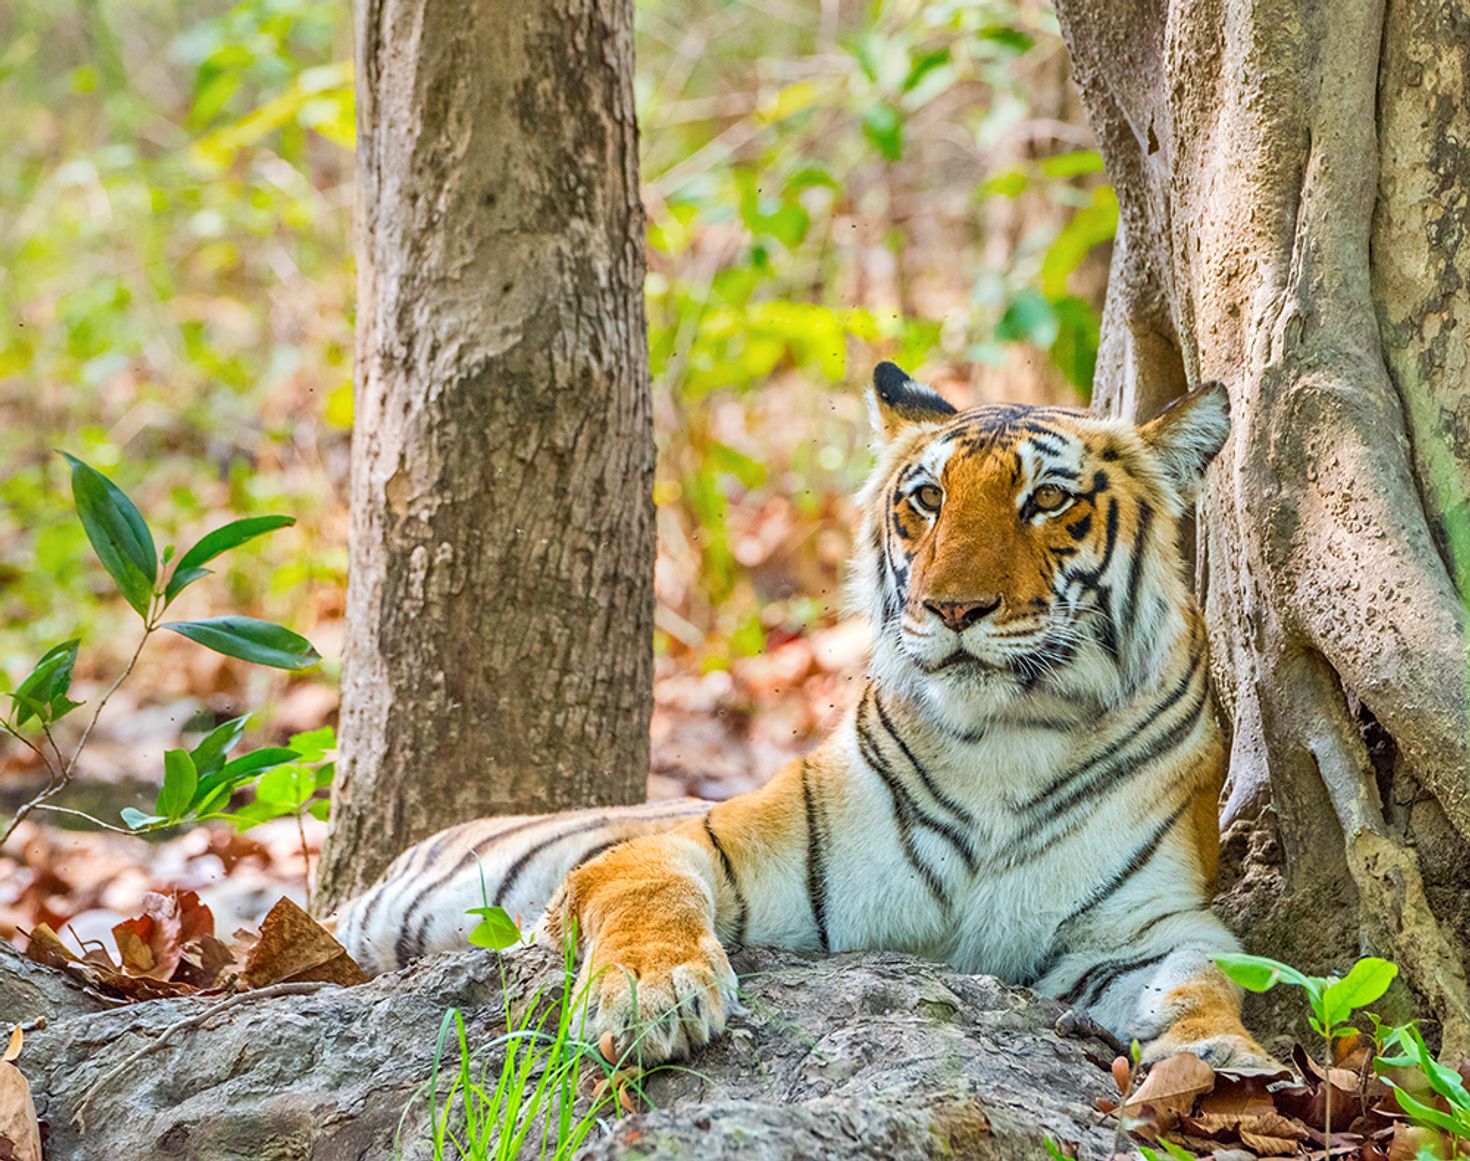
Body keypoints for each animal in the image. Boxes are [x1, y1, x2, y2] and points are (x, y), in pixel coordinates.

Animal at [334, 361, 1271, 1070]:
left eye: (1045, 500)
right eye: (926, 499)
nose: (952, 608)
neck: (1005, 743)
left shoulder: (1150, 921)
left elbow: (1205, 977)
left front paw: (1223, 1057)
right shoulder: (715, 844)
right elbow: (647, 886)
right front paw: (648, 995)